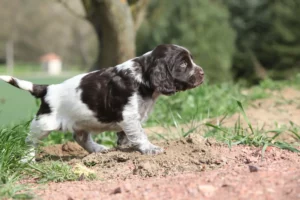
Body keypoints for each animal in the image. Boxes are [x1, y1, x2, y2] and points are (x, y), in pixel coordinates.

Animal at [0, 43, 204, 156]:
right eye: (183, 64)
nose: (202, 73)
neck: (141, 76)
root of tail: (47, 88)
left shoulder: (130, 118)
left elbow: (126, 135)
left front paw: (124, 147)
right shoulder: (129, 115)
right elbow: (139, 134)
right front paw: (149, 149)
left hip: (80, 121)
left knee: (80, 137)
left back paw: (98, 150)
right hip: (44, 123)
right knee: (30, 141)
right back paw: (27, 159)